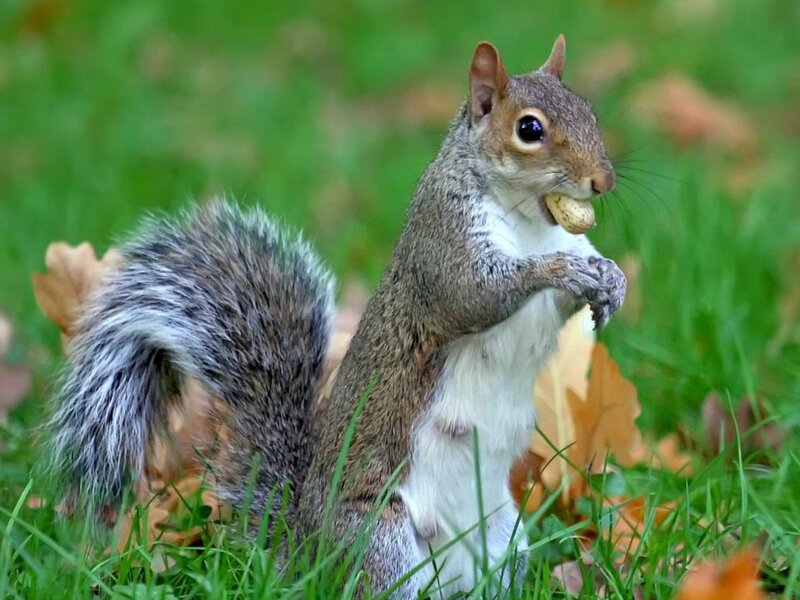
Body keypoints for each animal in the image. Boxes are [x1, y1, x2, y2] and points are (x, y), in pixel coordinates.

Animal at [46, 36, 626, 597]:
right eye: (529, 129)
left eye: (589, 111)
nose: (604, 181)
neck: (531, 219)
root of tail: (306, 551)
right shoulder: (442, 241)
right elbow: (474, 293)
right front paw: (562, 270)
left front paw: (610, 279)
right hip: (381, 542)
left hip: (504, 539)